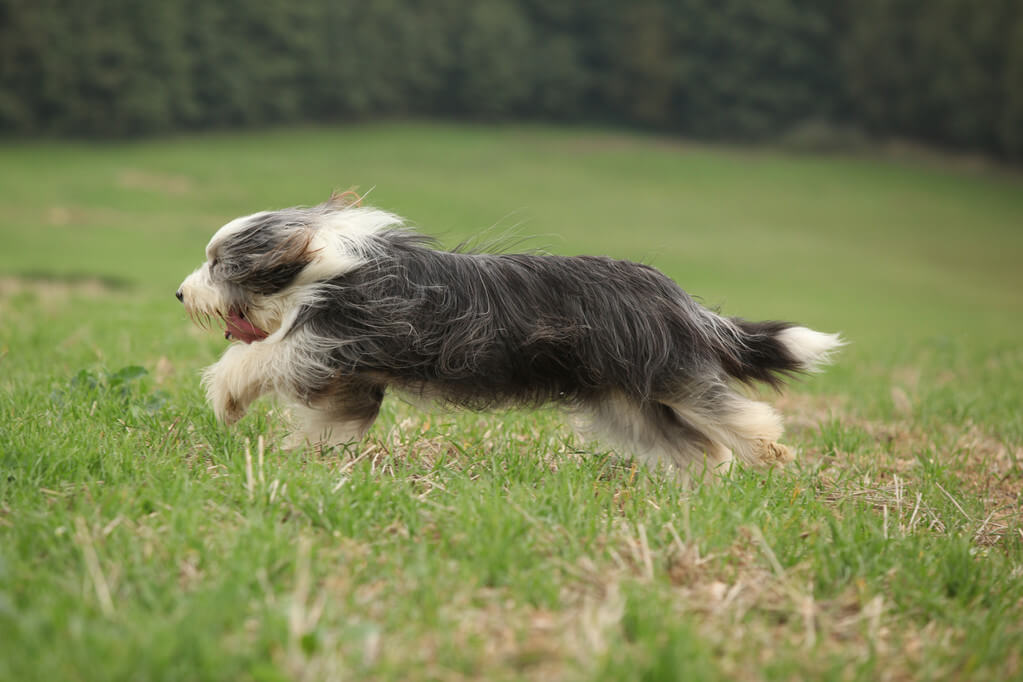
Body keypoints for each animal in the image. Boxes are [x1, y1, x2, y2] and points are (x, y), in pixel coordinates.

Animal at [175, 194, 842, 478]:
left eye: (217, 264)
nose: (180, 294)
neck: (326, 266)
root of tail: (680, 300)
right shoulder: (352, 375)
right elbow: (333, 417)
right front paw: (301, 456)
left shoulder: (332, 336)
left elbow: (264, 356)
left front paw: (225, 398)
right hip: (626, 403)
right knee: (698, 446)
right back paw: (699, 490)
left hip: (667, 372)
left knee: (734, 414)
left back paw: (768, 454)